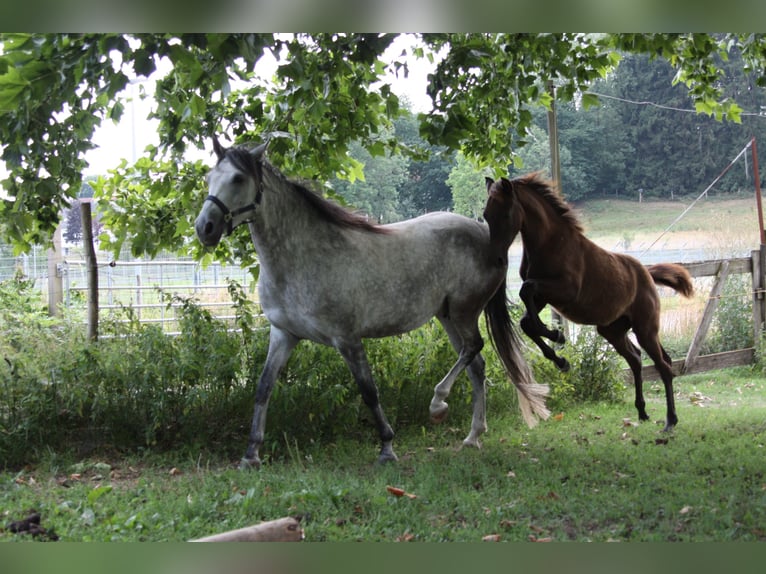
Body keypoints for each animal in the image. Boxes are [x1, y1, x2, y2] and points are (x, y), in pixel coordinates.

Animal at [194, 138, 550, 469]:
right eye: (210, 177)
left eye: (238, 178)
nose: (204, 228)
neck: (303, 259)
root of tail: (485, 232)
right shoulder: (283, 334)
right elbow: (263, 388)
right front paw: (250, 455)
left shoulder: (347, 339)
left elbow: (369, 391)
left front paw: (387, 448)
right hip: (448, 316)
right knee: (476, 365)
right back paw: (473, 436)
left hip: (463, 312)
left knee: (473, 349)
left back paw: (438, 405)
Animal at [483, 173, 694, 432]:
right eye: (486, 215)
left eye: (504, 214)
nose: (495, 258)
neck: (551, 243)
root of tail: (646, 273)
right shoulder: (544, 297)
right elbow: (526, 320)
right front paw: (560, 358)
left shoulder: (565, 291)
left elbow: (526, 291)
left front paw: (556, 336)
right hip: (612, 330)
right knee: (636, 359)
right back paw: (642, 412)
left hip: (645, 328)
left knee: (663, 367)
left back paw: (670, 421)